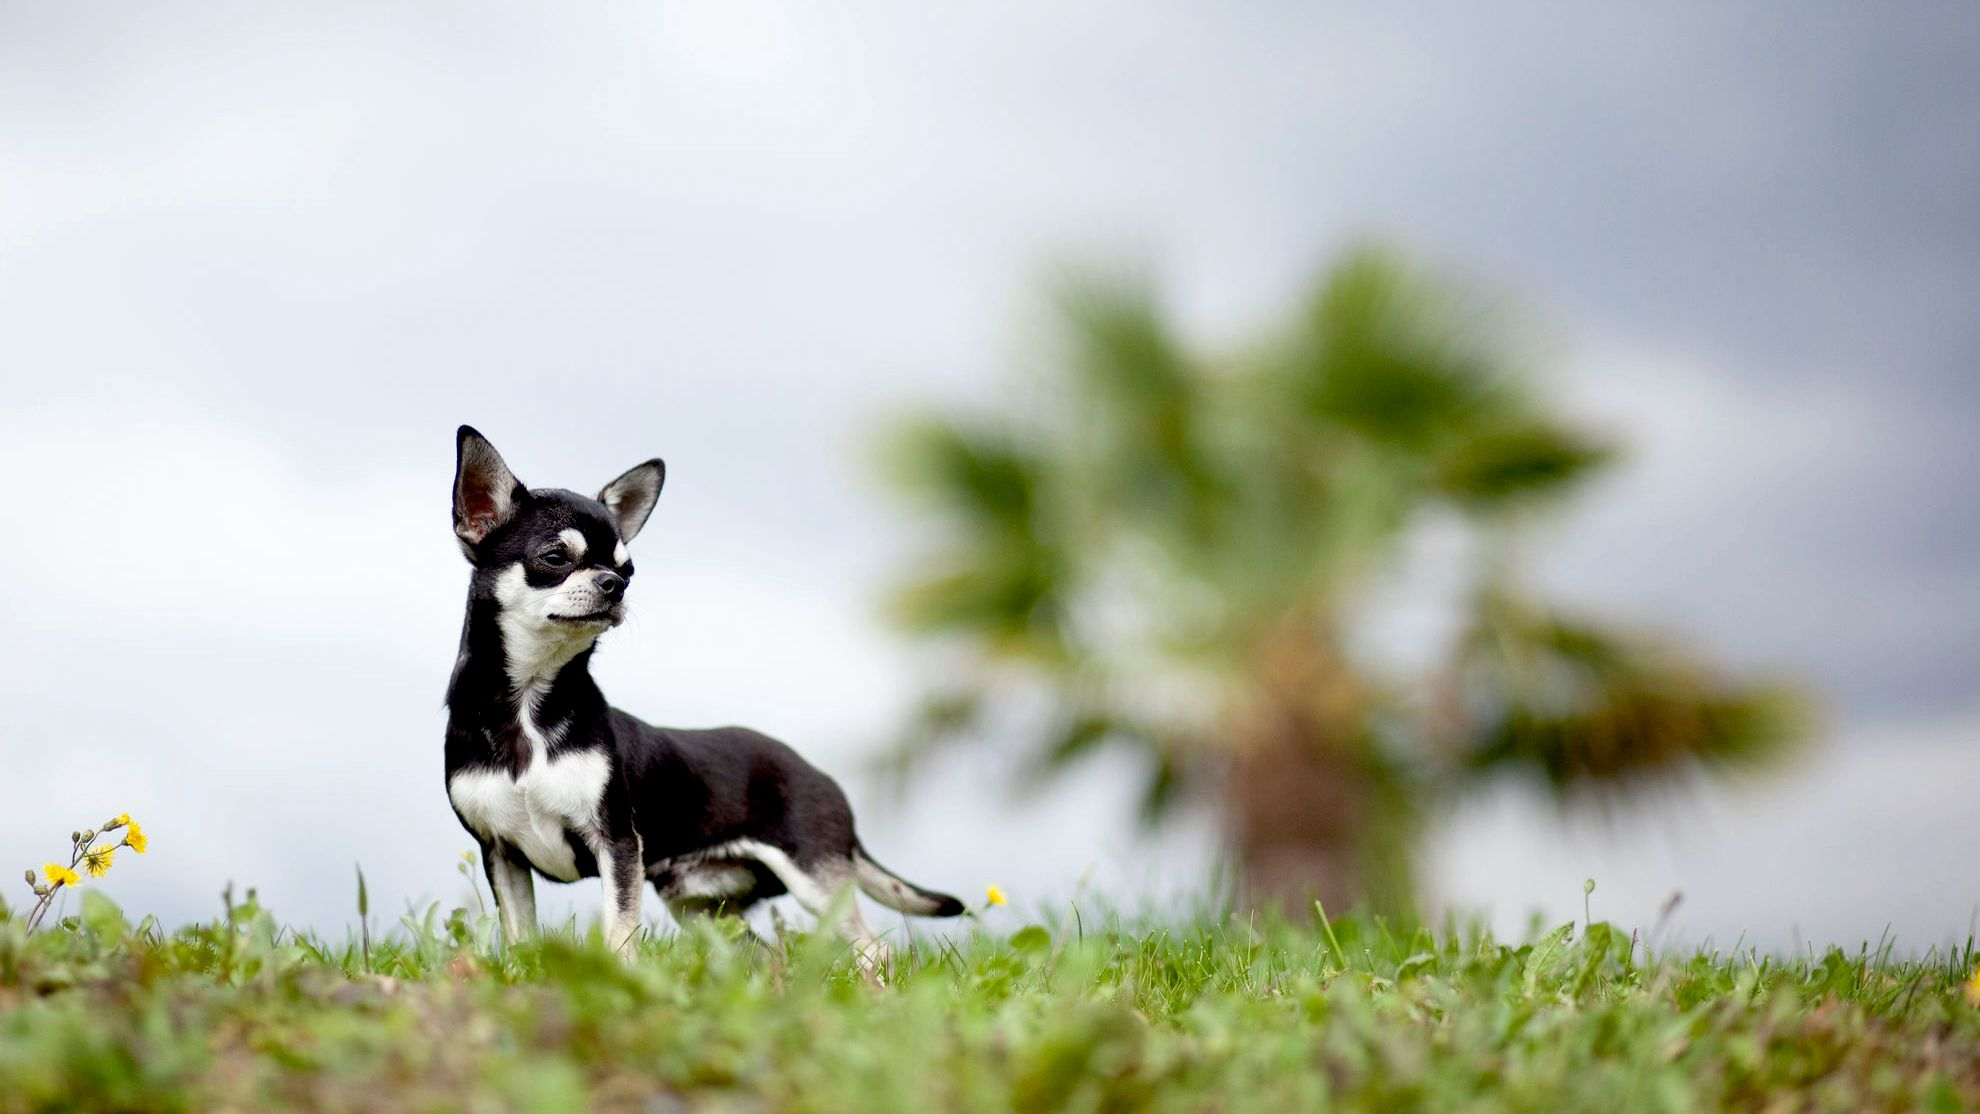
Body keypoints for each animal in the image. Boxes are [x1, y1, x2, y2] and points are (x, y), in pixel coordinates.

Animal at [439, 429, 958, 969]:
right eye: (555, 558)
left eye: (628, 569)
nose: (614, 584)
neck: (530, 703)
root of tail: (819, 775)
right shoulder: (502, 854)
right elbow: (520, 939)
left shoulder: (617, 845)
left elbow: (619, 931)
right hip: (702, 906)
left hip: (814, 879)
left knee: (874, 948)